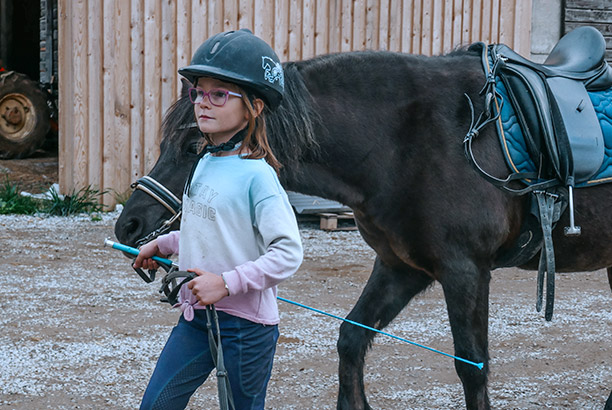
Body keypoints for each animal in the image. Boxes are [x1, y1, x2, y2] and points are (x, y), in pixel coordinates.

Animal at [116, 46, 612, 408]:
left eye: (193, 144)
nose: (129, 224)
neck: (413, 140)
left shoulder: (465, 271)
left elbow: (473, 368)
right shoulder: (400, 267)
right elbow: (351, 340)